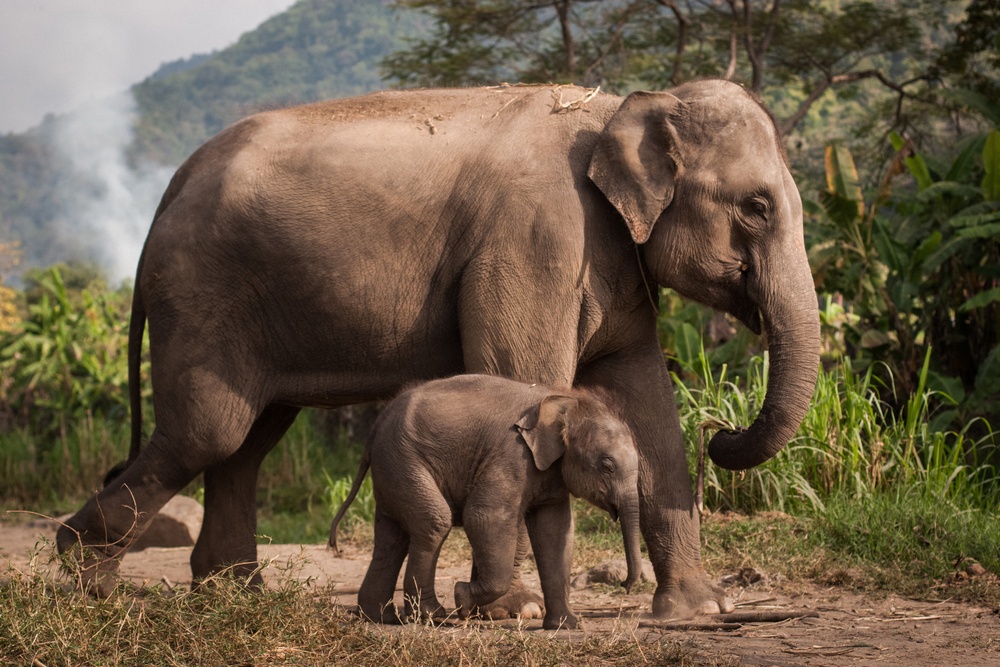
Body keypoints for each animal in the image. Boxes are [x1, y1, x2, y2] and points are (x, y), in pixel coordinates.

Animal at [328, 376, 640, 632]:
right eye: (607, 465)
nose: (625, 585)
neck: (563, 399)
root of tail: (377, 425)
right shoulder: (510, 454)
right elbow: (485, 517)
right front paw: (462, 598)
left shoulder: (550, 472)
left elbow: (556, 532)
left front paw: (566, 626)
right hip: (403, 460)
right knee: (433, 522)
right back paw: (433, 616)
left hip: (391, 467)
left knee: (391, 537)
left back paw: (380, 617)